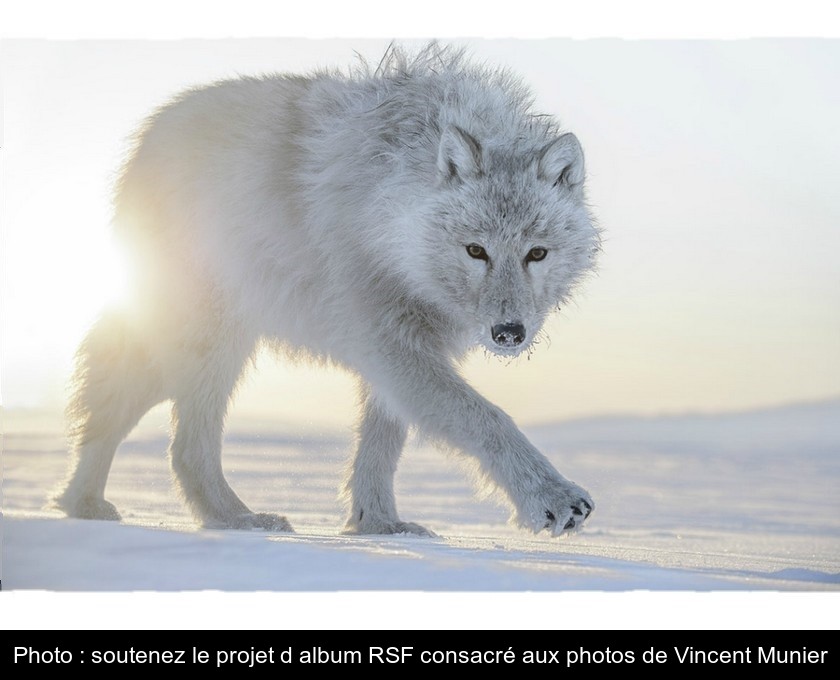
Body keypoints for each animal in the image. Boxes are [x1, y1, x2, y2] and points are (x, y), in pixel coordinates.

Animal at [55, 45, 600, 540]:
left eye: (536, 253)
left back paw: (83, 505)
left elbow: (382, 446)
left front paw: (379, 525)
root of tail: (151, 132)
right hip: (211, 346)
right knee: (183, 446)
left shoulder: (403, 349)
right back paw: (237, 519)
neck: (392, 208)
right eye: (475, 250)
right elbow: (488, 418)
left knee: (110, 412)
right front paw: (552, 497)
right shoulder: (387, 340)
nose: (508, 333)